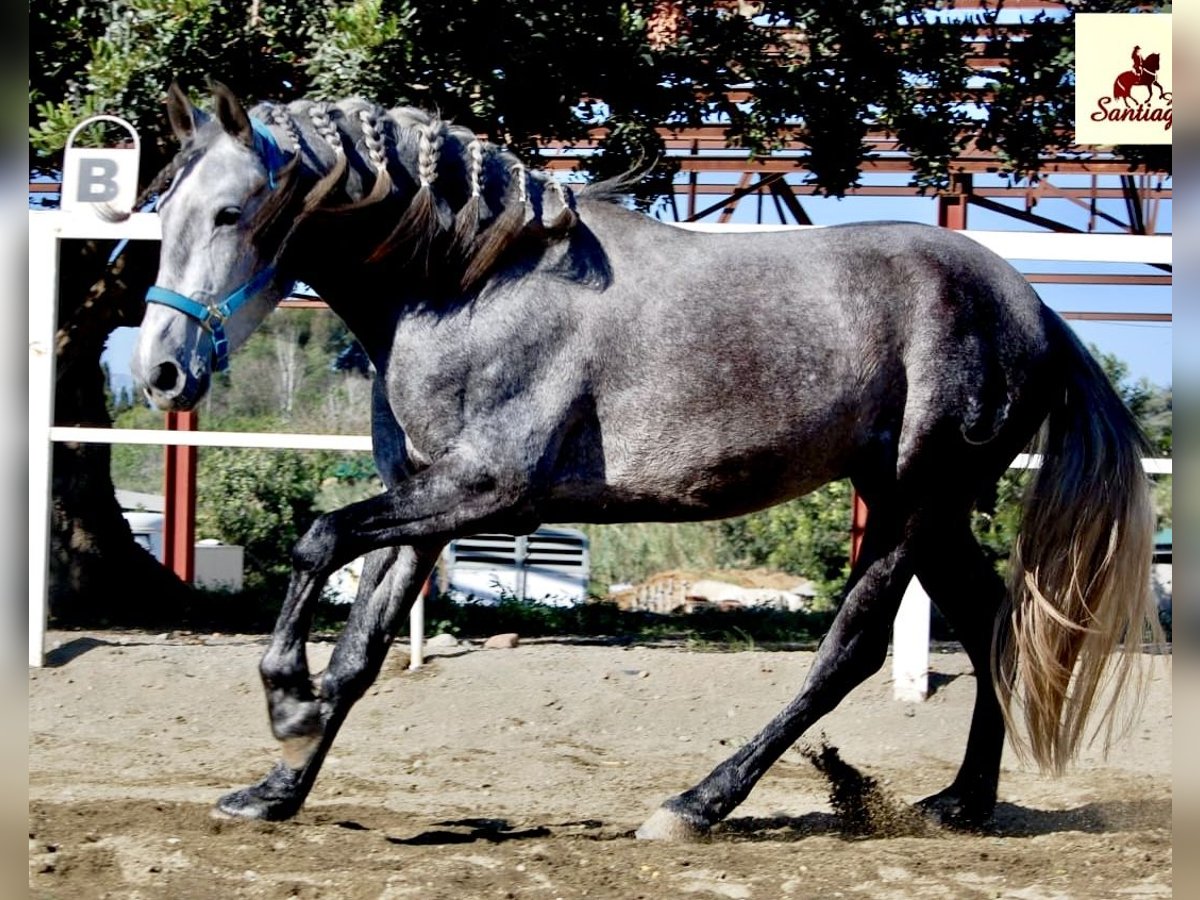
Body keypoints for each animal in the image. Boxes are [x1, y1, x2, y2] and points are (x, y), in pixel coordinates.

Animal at [129, 84, 1152, 840]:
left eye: (229, 211)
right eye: (160, 211)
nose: (161, 372)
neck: (468, 282)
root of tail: (1036, 310)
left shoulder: (488, 489)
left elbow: (315, 539)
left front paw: (285, 707)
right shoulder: (425, 499)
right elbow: (362, 648)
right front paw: (275, 788)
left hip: (912, 502)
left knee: (851, 649)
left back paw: (698, 805)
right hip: (924, 508)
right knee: (988, 622)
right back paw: (963, 803)